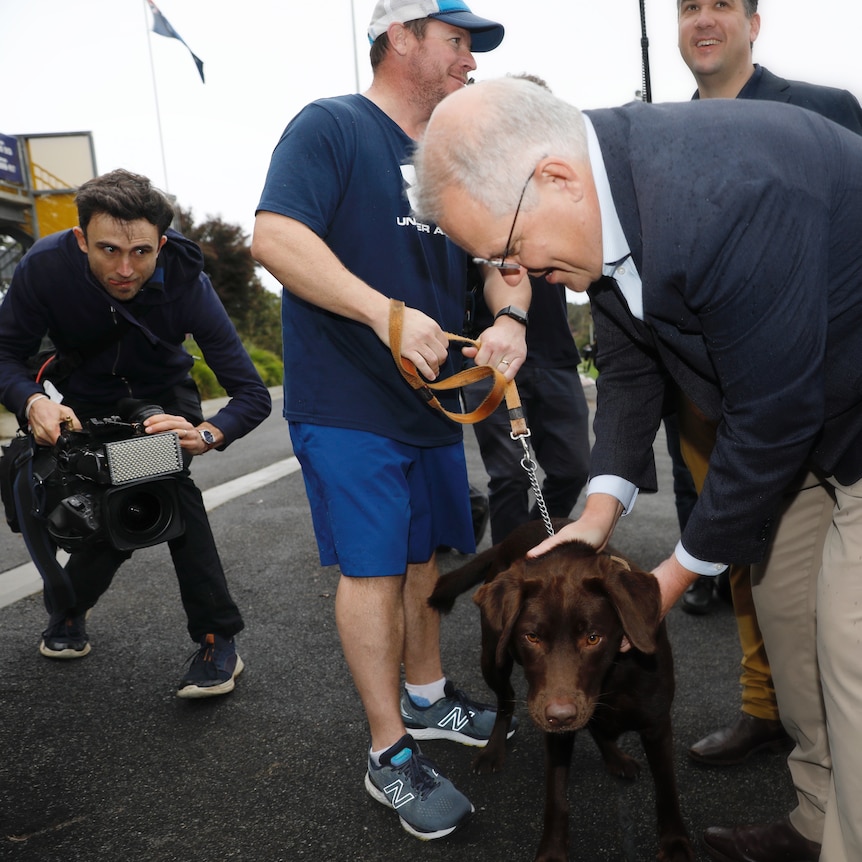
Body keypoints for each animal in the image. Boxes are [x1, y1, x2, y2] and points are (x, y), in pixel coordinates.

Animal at [432, 520, 696, 862]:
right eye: (531, 637)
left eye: (593, 638)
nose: (559, 716)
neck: (611, 675)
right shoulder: (555, 726)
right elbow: (556, 796)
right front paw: (553, 850)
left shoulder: (657, 724)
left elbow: (666, 787)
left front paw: (675, 843)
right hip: (492, 659)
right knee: (505, 701)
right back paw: (493, 751)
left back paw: (615, 757)